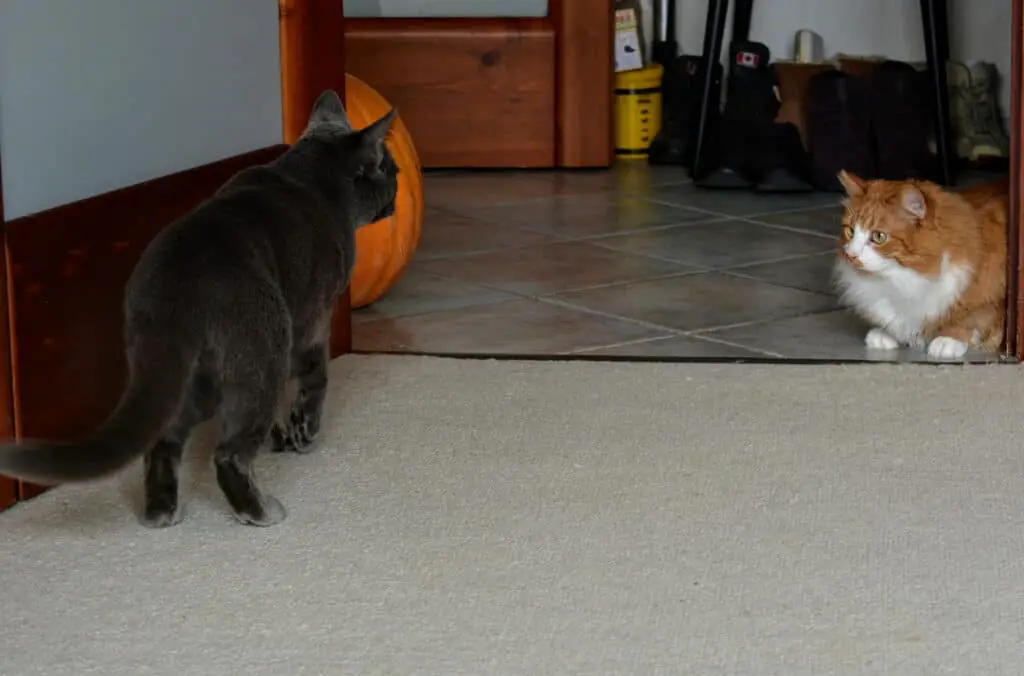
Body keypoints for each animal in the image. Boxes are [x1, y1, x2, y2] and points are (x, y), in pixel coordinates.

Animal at [0, 88, 395, 528]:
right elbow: (316, 377)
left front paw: (282, 435)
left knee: (162, 441)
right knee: (228, 454)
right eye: (388, 168)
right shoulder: (312, 322)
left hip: (185, 376)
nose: (397, 179)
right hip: (259, 355)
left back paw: (161, 514)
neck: (311, 175)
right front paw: (303, 433)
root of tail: (174, 293)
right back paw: (260, 511)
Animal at [831, 170, 1007, 358]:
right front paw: (886, 333)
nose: (850, 255)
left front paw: (949, 339)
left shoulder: (991, 293)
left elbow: (971, 319)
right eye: (850, 231)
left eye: (879, 236)